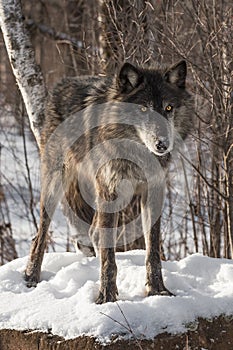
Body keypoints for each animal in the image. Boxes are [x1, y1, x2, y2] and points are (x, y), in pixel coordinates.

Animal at [25, 60, 193, 304]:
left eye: (169, 108)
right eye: (143, 109)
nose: (162, 144)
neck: (136, 153)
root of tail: (63, 83)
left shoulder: (153, 192)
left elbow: (153, 252)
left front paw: (157, 291)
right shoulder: (109, 190)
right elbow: (109, 256)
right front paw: (106, 297)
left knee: (94, 232)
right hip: (57, 184)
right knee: (40, 235)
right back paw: (31, 276)